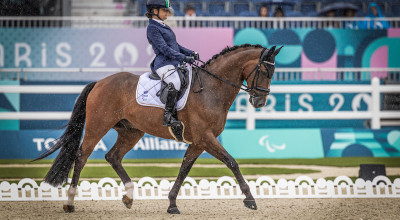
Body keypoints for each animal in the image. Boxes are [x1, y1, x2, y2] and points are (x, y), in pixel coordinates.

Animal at [33, 43, 282, 213]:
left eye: (273, 73)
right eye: (263, 71)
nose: (259, 102)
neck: (212, 89)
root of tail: (100, 82)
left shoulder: (198, 141)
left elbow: (184, 168)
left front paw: (172, 203)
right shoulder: (206, 138)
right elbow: (232, 162)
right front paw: (250, 199)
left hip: (131, 131)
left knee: (113, 156)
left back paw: (128, 196)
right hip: (98, 126)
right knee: (82, 156)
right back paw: (69, 202)